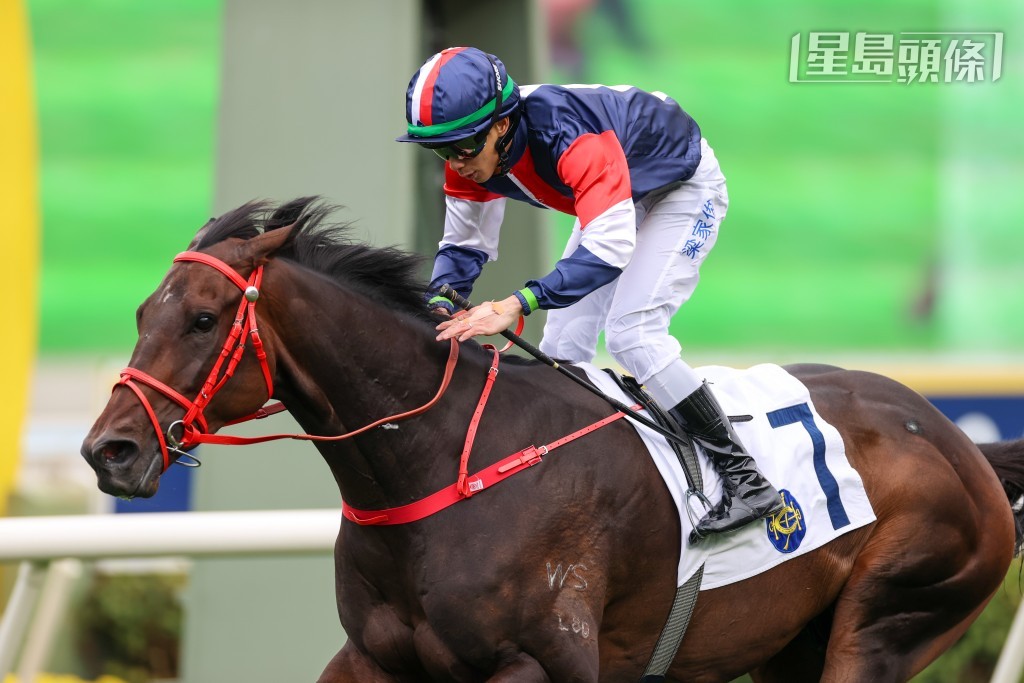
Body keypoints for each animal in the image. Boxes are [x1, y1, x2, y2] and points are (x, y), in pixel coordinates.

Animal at [81, 197, 1024, 682]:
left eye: (204, 319)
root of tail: (959, 441)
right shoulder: (374, 661)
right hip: (792, 647)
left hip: (889, 616)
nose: (108, 451)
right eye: (141, 313)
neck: (441, 463)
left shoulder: (543, 663)